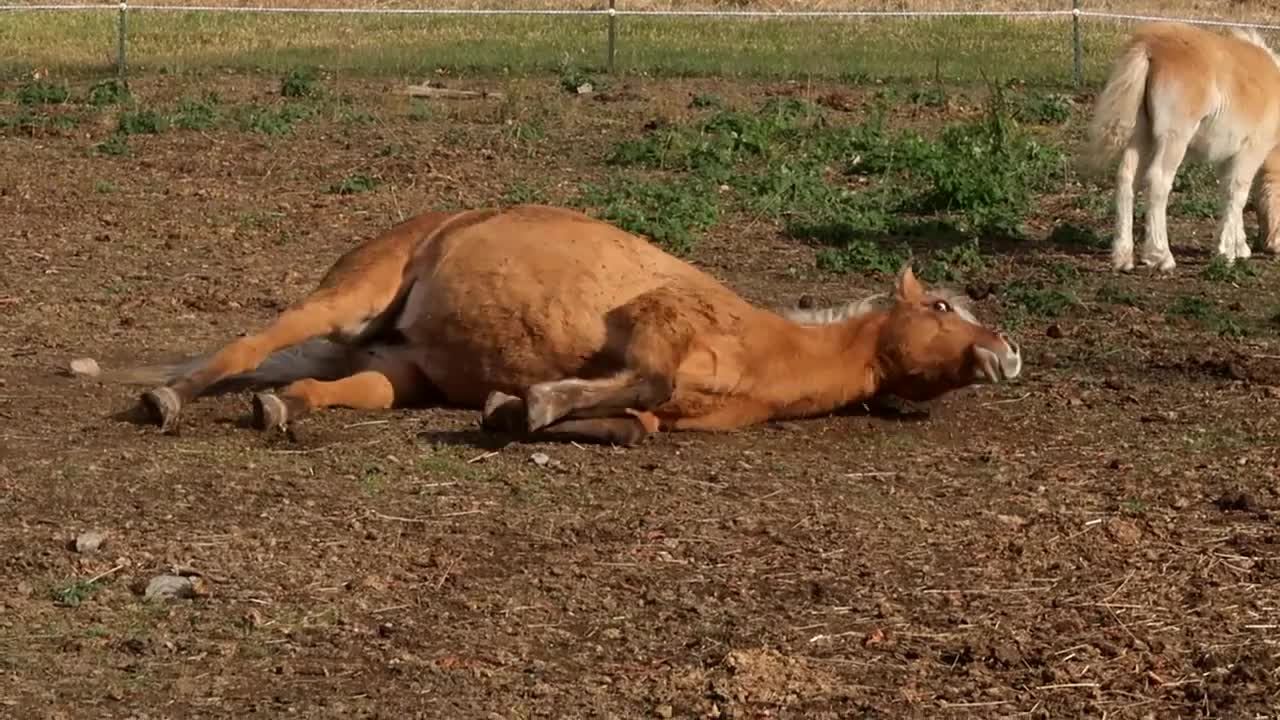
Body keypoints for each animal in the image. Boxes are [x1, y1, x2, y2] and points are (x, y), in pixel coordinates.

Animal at [110, 202, 1024, 445]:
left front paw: (512, 408)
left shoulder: (659, 407)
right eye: (942, 306)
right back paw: (167, 400)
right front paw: (539, 401)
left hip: (403, 369)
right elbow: (642, 379)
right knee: (246, 345)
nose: (1008, 353)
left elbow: (638, 420)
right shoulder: (655, 322)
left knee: (334, 387)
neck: (765, 349)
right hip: (350, 297)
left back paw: (282, 408)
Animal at [1085, 20, 1280, 271]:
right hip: (1173, 139)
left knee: (1126, 179)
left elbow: (1230, 193)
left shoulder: (1229, 157)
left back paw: (1123, 256)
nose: (1272, 248)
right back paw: (1161, 256)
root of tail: (1150, 46)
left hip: (1141, 136)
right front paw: (1226, 253)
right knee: (1158, 181)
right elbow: (1237, 192)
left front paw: (1239, 247)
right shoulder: (1251, 149)